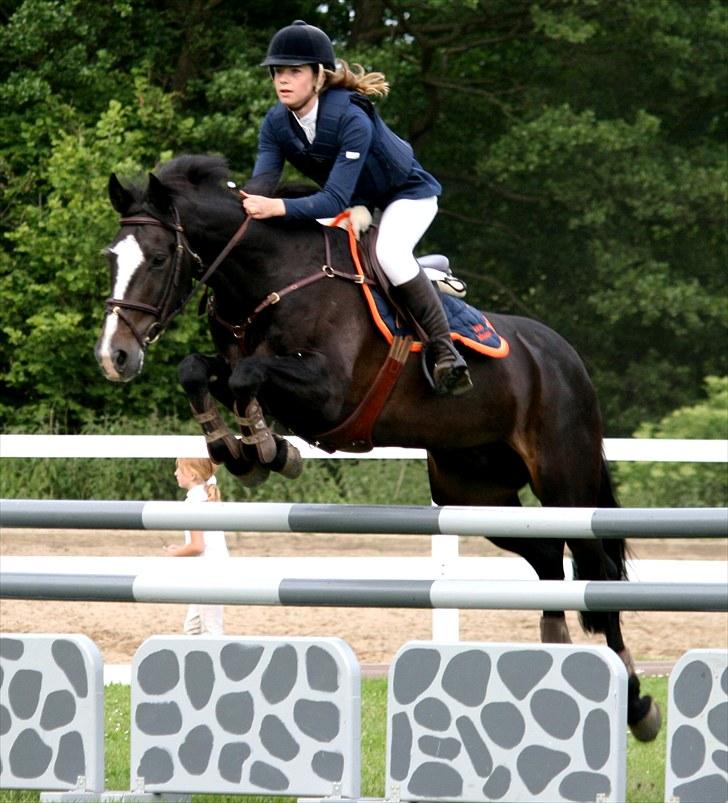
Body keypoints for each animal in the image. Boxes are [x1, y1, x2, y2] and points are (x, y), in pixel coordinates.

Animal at [95, 154, 660, 740]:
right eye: (111, 257)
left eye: (159, 257)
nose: (115, 356)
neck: (270, 280)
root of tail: (567, 357)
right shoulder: (238, 368)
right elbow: (200, 371)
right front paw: (242, 449)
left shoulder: (326, 394)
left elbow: (247, 376)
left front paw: (267, 450)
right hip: (472, 492)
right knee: (549, 560)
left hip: (564, 482)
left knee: (597, 577)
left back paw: (636, 705)